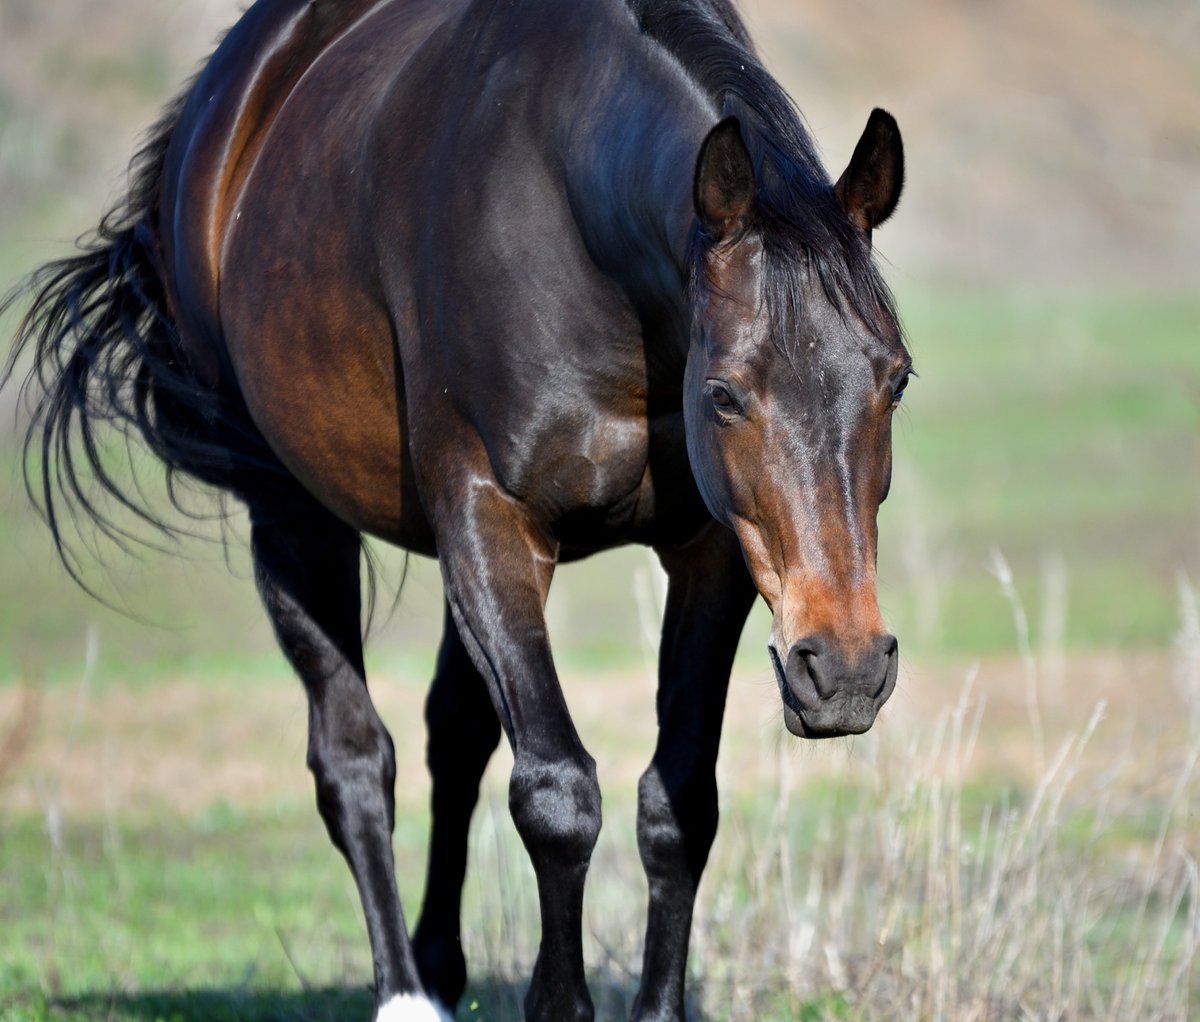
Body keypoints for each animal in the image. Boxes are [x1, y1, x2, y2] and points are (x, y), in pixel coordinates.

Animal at [3, 0, 910, 1018]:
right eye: (723, 395)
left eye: (897, 380)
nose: (846, 670)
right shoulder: (491, 520)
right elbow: (556, 796)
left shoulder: (710, 550)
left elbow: (678, 801)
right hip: (293, 517)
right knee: (354, 759)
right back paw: (405, 990)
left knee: (456, 733)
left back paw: (438, 961)